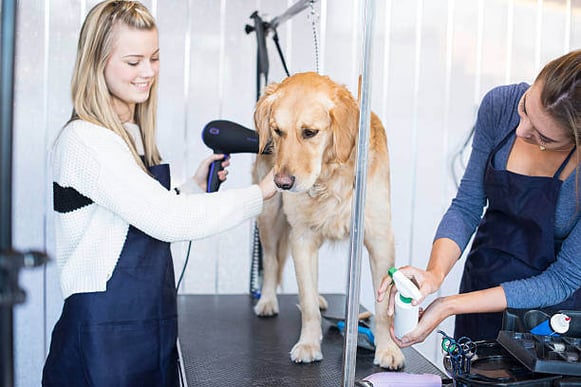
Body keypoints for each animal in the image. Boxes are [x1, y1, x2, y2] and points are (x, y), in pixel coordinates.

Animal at [249, 72, 404, 370]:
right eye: (277, 131)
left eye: (310, 132)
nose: (282, 183)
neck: (330, 176)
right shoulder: (301, 237)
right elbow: (307, 302)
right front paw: (309, 344)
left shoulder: (380, 239)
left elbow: (382, 309)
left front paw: (388, 348)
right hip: (269, 217)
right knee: (272, 263)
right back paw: (267, 301)